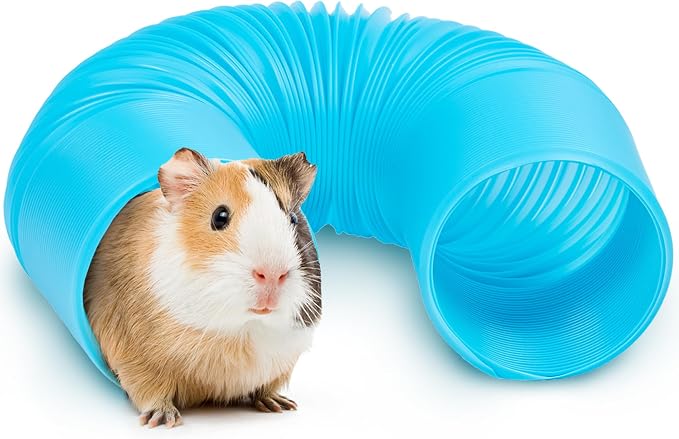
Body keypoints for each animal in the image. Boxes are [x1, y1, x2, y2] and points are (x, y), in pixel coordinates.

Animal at [84, 148, 321, 428]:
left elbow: (265, 387)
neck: (241, 332)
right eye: (219, 217)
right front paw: (163, 421)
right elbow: (151, 392)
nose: (273, 274)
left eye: (293, 219)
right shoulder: (135, 359)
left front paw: (281, 406)